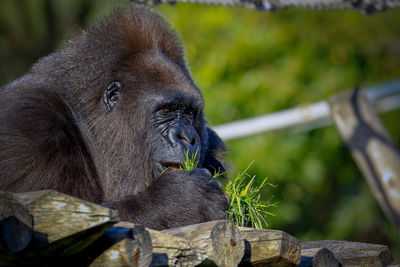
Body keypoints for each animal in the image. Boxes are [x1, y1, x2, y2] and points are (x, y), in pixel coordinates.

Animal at [0, 4, 230, 231]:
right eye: (166, 110)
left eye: (190, 113)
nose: (189, 138)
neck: (87, 123)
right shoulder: (30, 126)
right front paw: (182, 200)